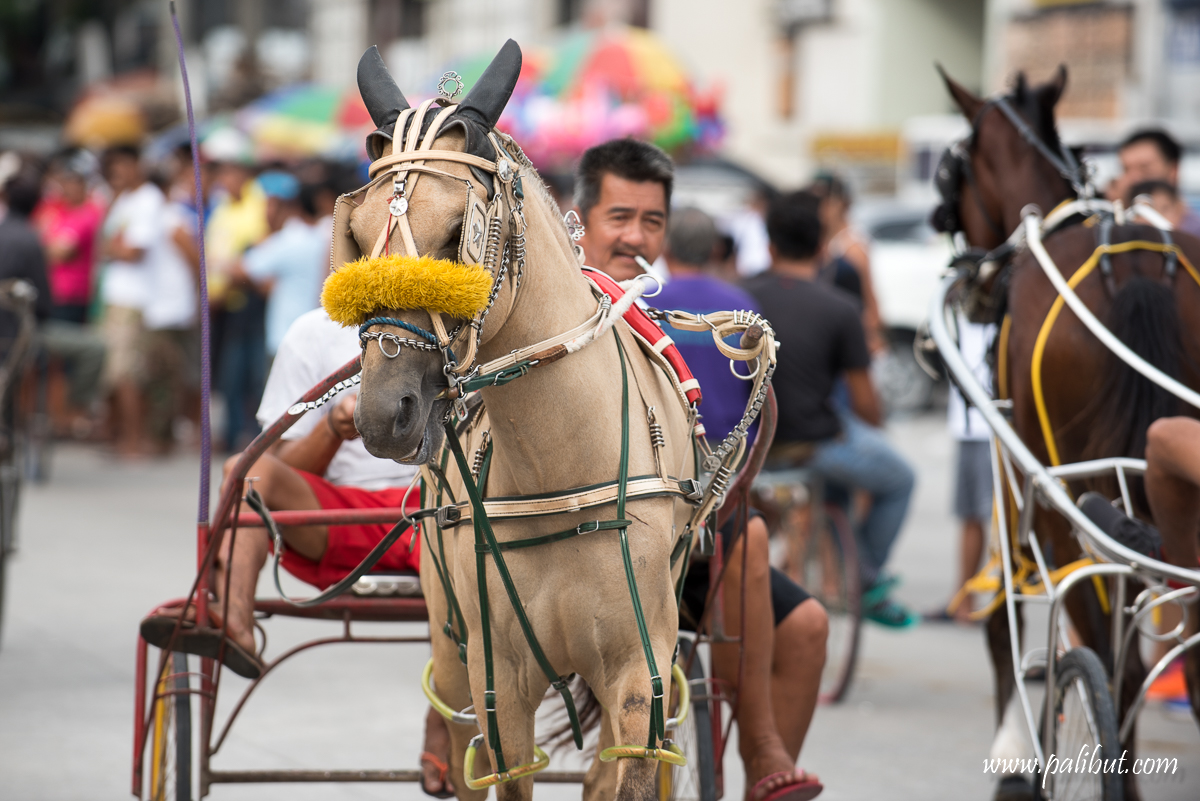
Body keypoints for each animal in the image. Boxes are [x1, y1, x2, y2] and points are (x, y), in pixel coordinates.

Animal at [325, 41, 716, 801]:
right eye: (354, 236)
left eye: (457, 234)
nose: (386, 413)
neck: (559, 469)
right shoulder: (497, 679)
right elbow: (501, 762)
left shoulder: (641, 671)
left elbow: (627, 765)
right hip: (450, 646)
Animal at [936, 67, 1200, 800]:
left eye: (952, 167)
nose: (970, 274)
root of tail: (1135, 267)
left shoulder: (1015, 467)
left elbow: (1003, 613)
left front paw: (1014, 754)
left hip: (1065, 503)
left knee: (1113, 657)